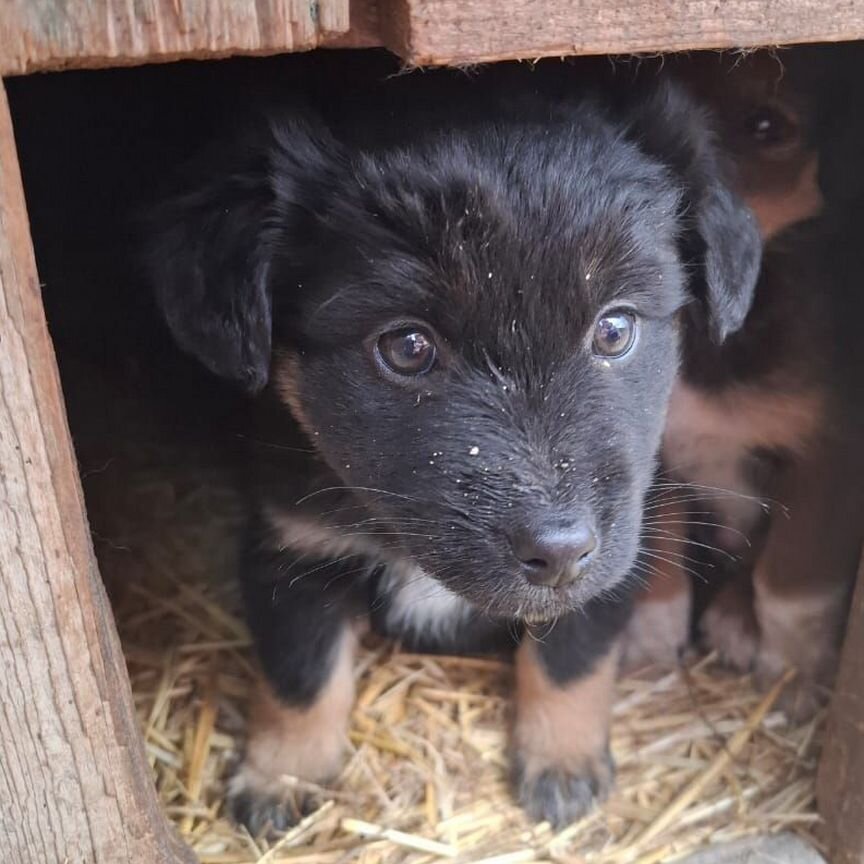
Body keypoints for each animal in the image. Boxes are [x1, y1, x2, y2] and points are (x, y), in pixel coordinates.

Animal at [145, 64, 760, 832]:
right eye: (407, 347)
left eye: (615, 330)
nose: (560, 550)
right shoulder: (292, 548)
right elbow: (301, 674)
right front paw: (283, 774)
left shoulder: (616, 556)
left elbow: (571, 657)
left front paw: (563, 760)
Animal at [624, 50, 864, 720]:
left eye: (765, 126)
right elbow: (658, 562)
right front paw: (652, 647)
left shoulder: (831, 462)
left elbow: (790, 586)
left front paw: (794, 678)